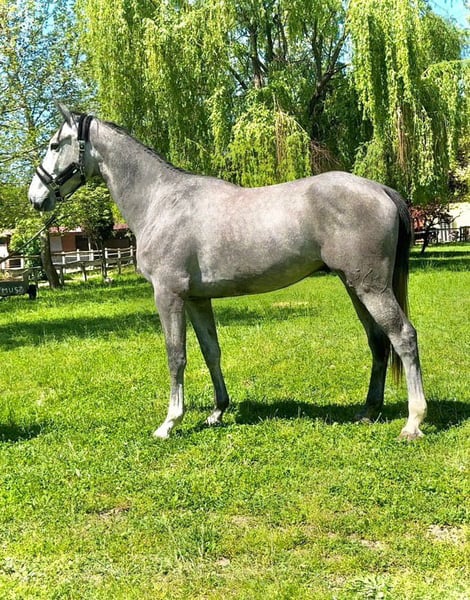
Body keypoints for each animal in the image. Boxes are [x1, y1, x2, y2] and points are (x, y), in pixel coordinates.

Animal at [28, 102, 427, 440]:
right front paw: (217, 412)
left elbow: (176, 355)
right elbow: (211, 351)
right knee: (378, 341)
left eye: (53, 144)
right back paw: (368, 411)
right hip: (354, 284)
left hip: (372, 287)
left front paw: (169, 423)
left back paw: (413, 422)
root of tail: (381, 189)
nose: (35, 198)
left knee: (403, 336)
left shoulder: (168, 295)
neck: (162, 201)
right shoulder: (196, 299)